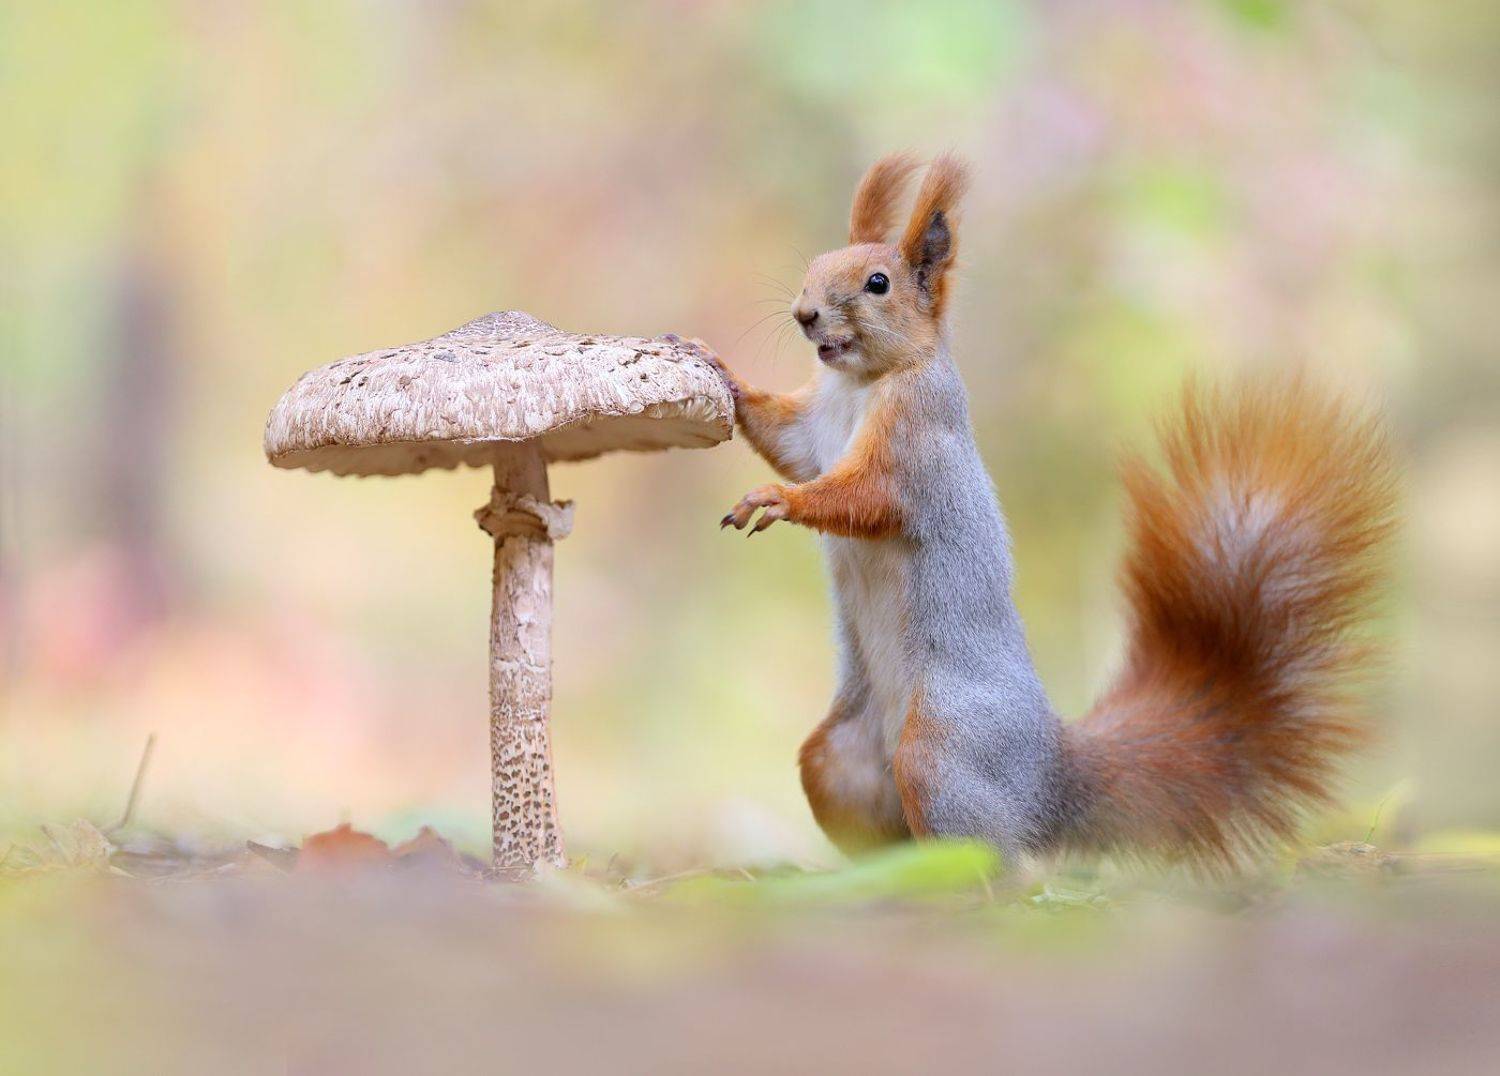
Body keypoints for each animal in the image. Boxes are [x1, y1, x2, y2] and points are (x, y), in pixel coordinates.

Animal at [707, 152, 1397, 870]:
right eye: (818, 262)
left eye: (878, 283)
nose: (804, 313)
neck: (861, 384)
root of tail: (1048, 775)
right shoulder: (814, 425)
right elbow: (785, 439)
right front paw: (718, 370)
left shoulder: (915, 448)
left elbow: (862, 496)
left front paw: (777, 499)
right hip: (839, 759)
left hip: (941, 756)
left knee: (995, 857)